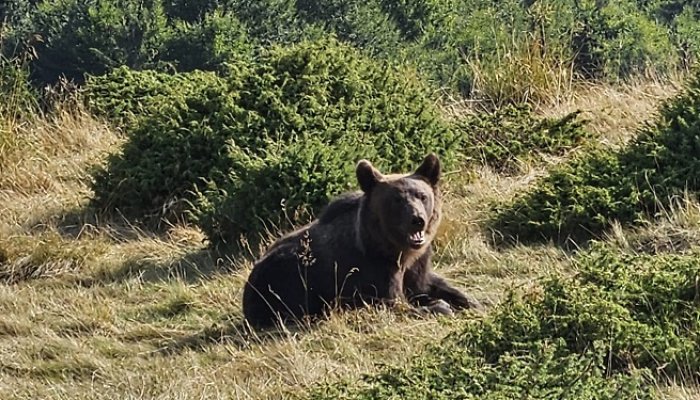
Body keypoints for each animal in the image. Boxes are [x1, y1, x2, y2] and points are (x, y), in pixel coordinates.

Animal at [242, 154, 482, 328]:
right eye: (396, 200)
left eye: (422, 196)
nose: (417, 220)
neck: (395, 250)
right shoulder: (370, 271)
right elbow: (393, 302)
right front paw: (440, 306)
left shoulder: (417, 264)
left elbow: (429, 285)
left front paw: (472, 301)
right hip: (282, 284)